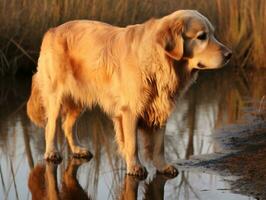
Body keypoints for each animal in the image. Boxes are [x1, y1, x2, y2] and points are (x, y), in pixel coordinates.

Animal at [26, 10, 232, 177]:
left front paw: (162, 166)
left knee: (68, 125)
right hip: (56, 96)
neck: (158, 62)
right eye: (202, 36)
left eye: (213, 34)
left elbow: (159, 145)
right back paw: (51, 152)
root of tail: (52, 30)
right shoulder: (130, 111)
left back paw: (78, 149)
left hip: (79, 98)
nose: (229, 54)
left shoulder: (160, 108)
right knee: (51, 126)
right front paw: (135, 167)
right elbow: (132, 144)